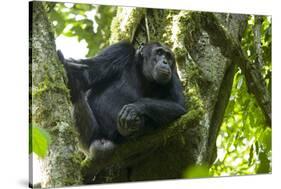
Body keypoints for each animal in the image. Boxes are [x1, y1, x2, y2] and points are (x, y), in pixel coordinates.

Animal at [57, 41, 186, 158]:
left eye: (168, 56)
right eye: (159, 53)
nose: (165, 61)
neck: (142, 72)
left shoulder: (173, 73)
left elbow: (179, 105)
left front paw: (134, 108)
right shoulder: (119, 50)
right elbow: (87, 74)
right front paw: (67, 67)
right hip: (89, 139)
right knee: (77, 93)